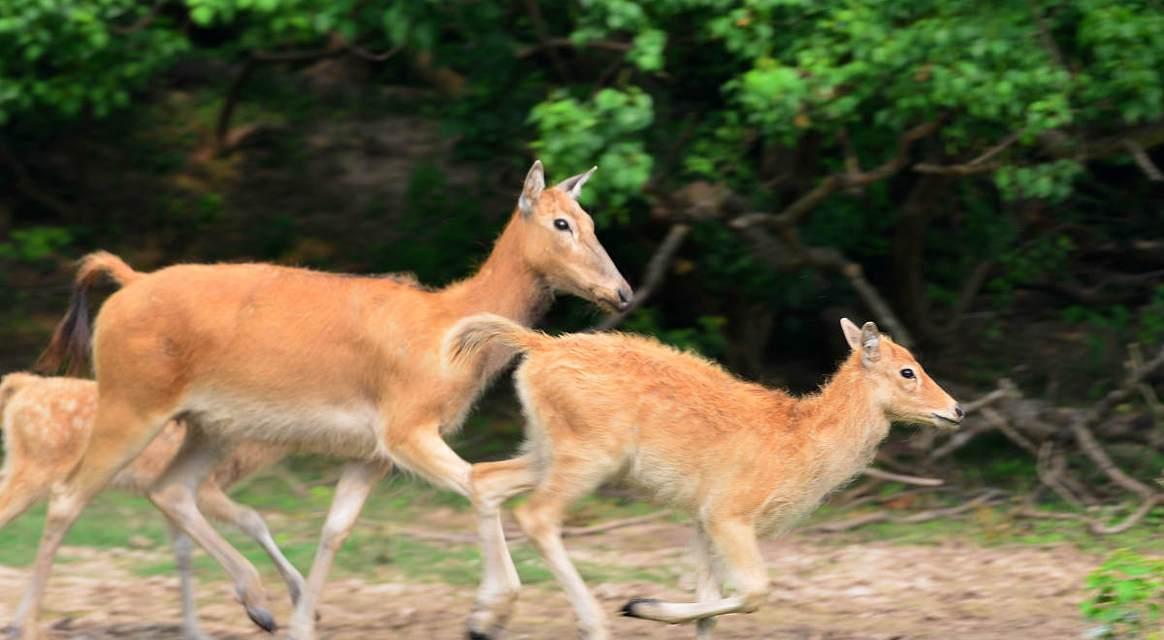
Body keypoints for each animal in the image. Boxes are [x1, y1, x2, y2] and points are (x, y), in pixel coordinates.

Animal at [1, 372, 300, 640]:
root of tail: (23, 385)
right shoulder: (204, 487)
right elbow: (252, 518)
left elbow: (183, 552)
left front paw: (194, 631)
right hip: (37, 465)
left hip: (20, 463)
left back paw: (17, 625)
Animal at [444, 316, 963, 640]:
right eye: (908, 371)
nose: (956, 409)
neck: (801, 447)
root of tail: (538, 345)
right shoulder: (729, 512)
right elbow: (753, 591)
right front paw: (640, 604)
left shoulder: (701, 516)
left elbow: (710, 609)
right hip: (587, 454)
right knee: (536, 515)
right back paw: (593, 623)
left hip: (545, 446)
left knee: (484, 477)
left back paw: (483, 619)